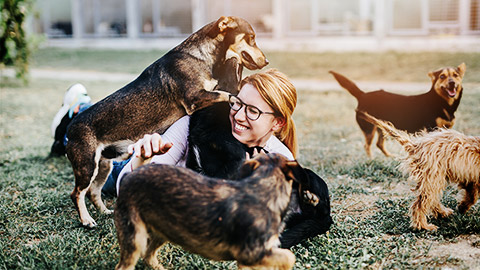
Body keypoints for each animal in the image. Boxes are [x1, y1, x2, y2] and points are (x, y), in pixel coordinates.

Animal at [64, 16, 268, 228]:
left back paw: (104, 212)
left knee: (93, 192)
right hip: (87, 166)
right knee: (77, 193)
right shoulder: (195, 98)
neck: (200, 56)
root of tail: (70, 128)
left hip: (103, 166)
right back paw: (86, 220)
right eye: (251, 38)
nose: (267, 61)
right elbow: (227, 94)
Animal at [115, 154, 318, 270]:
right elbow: (289, 257)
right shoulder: (251, 254)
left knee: (148, 256)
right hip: (135, 237)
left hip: (165, 230)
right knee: (125, 265)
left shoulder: (248, 261)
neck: (264, 188)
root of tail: (130, 175)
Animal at [330, 62, 464, 157]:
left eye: (455, 75)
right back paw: (370, 160)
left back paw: (389, 157)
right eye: (442, 76)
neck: (440, 101)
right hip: (369, 128)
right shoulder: (432, 129)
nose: (452, 83)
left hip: (382, 126)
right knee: (367, 146)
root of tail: (363, 94)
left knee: (379, 144)